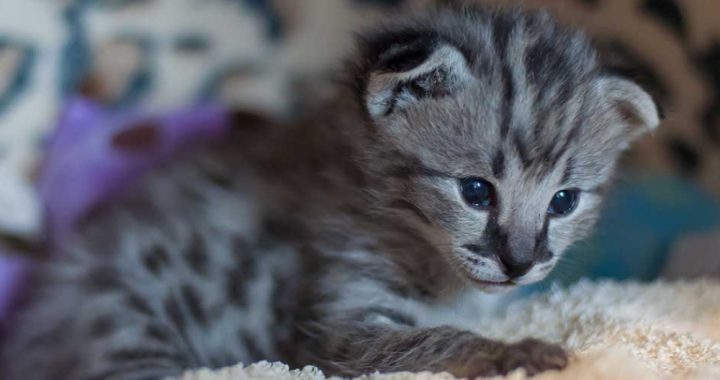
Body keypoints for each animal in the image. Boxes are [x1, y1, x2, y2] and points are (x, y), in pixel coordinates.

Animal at [0, 5, 660, 380]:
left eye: (564, 201)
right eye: (475, 191)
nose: (519, 263)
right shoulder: (336, 327)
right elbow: (428, 339)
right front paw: (509, 351)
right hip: (128, 328)